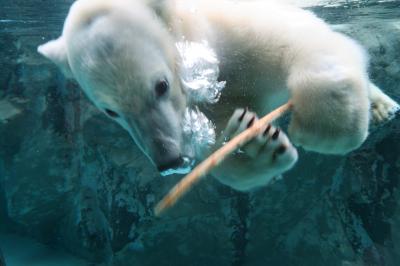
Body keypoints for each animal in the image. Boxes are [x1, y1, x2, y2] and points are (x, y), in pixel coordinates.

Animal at [36, 0, 396, 191]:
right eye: (111, 111)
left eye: (161, 86)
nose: (169, 161)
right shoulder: (215, 101)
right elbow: (224, 137)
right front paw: (260, 146)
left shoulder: (238, 26)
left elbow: (299, 38)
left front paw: (326, 127)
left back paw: (381, 105)